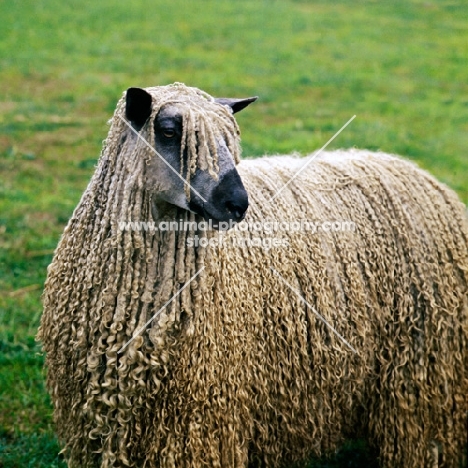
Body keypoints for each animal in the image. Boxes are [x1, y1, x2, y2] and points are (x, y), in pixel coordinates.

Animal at [39, 84, 468, 468]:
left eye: (230, 138)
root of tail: (423, 177)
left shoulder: (200, 419)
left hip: (421, 373)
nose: (238, 203)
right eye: (169, 131)